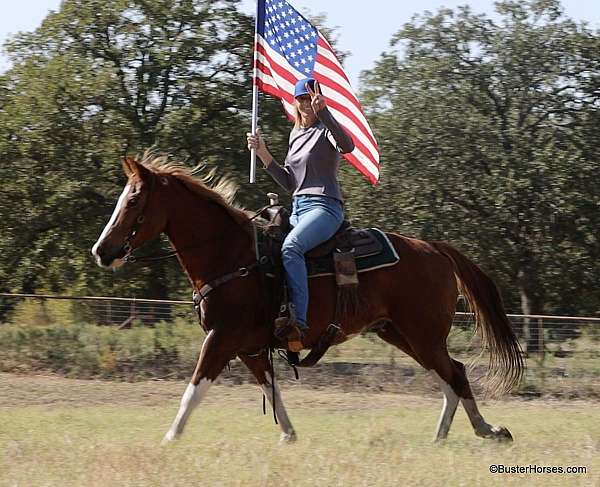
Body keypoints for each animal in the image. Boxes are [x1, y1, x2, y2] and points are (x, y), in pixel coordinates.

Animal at [91, 155, 524, 446]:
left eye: (133, 201)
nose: (102, 251)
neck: (233, 257)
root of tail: (433, 250)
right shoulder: (249, 347)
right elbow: (271, 389)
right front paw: (288, 435)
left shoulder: (220, 338)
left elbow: (194, 390)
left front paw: (169, 438)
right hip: (399, 333)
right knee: (451, 374)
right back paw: (445, 434)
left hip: (422, 333)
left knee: (455, 373)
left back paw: (487, 430)